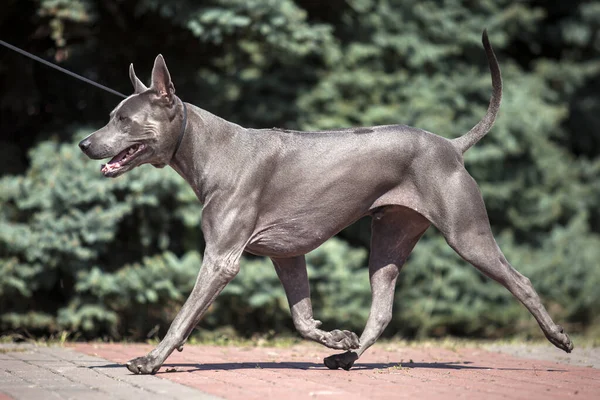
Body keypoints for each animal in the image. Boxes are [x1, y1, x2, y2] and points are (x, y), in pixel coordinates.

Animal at [78, 31, 572, 376]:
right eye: (110, 116)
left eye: (124, 120)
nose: (84, 143)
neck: (208, 149)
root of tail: (451, 145)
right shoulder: (287, 254)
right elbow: (300, 319)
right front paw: (336, 338)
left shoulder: (221, 258)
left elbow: (184, 314)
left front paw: (151, 360)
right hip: (389, 236)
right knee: (383, 309)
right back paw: (348, 359)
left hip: (466, 233)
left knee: (521, 280)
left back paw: (559, 337)